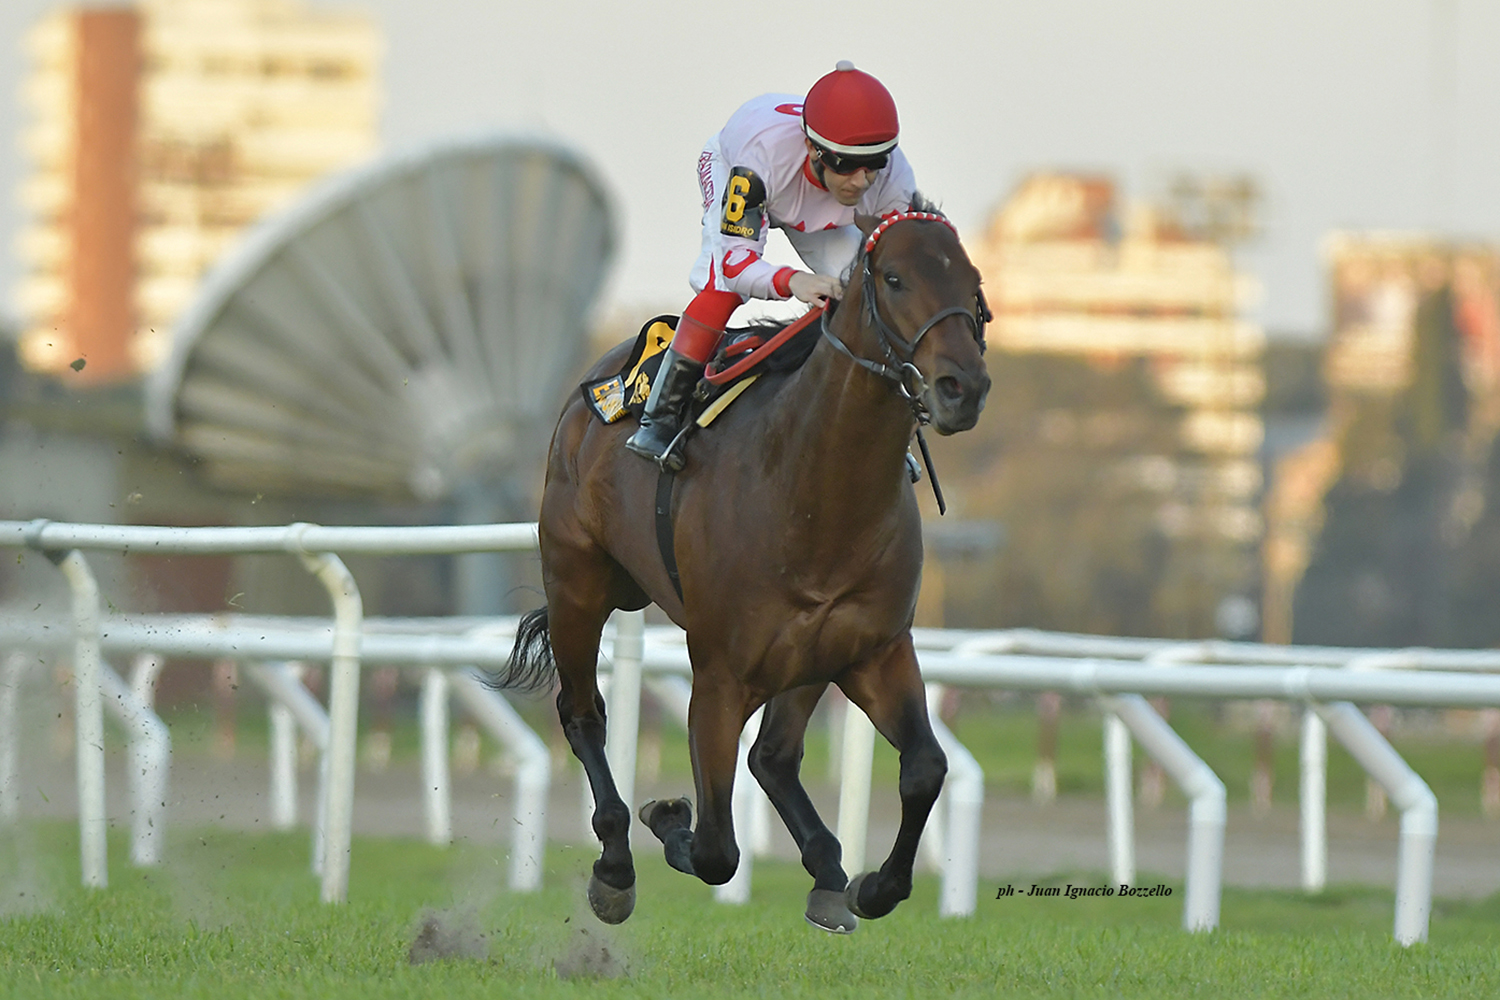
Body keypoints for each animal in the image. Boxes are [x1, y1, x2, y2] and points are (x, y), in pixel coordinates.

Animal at [492, 199, 991, 933]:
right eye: (895, 279)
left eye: (973, 285)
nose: (964, 387)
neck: (811, 490)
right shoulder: (720, 676)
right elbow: (714, 848)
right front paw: (667, 814)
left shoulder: (873, 648)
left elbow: (925, 767)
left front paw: (875, 886)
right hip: (578, 585)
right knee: (583, 713)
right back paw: (615, 863)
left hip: (808, 658)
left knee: (774, 757)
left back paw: (828, 871)